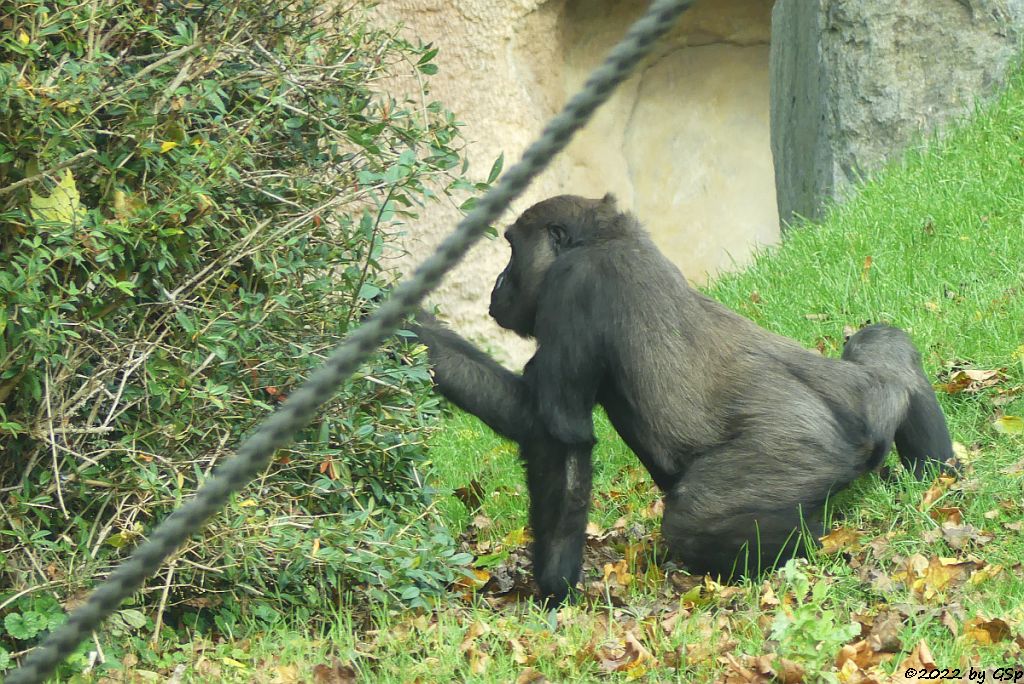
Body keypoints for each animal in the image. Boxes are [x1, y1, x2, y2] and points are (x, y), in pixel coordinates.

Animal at [411, 193, 954, 602]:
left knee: (693, 519)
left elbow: (559, 435)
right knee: (885, 349)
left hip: (801, 452)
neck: (604, 236)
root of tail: (863, 430)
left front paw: (554, 588)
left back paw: (804, 544)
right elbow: (534, 419)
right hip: (867, 390)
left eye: (511, 252)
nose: (498, 284)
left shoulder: (572, 289)